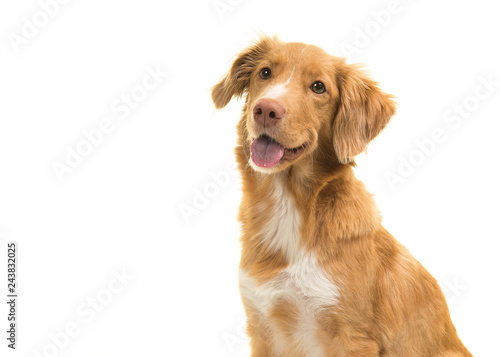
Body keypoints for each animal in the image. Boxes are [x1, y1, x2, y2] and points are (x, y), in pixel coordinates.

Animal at [212, 36, 472, 356]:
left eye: (318, 87)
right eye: (264, 72)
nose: (265, 110)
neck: (289, 204)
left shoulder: (353, 337)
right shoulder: (262, 328)